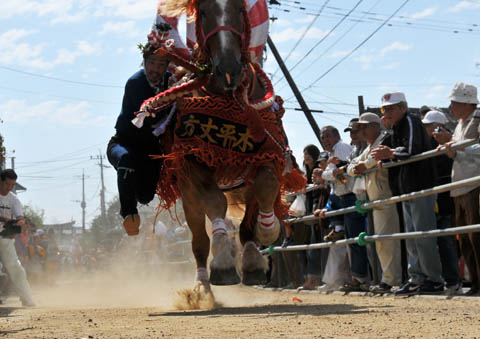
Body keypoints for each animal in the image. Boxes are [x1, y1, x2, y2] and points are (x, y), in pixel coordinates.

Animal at [155, 0, 304, 294]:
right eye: (203, 12)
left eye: (237, 8)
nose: (228, 69)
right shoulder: (195, 161)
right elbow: (216, 203)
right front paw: (223, 262)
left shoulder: (265, 152)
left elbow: (266, 188)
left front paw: (265, 238)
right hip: (188, 196)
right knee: (199, 241)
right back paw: (202, 286)